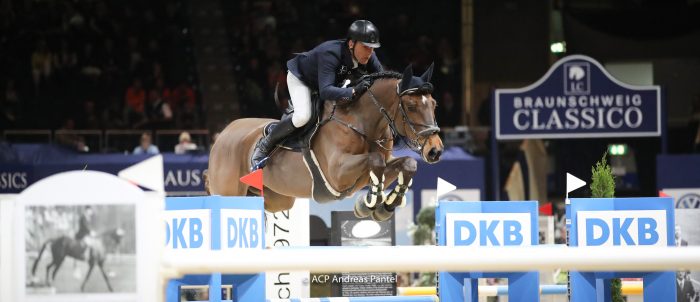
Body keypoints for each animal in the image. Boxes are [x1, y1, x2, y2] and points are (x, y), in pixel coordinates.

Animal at [206, 63, 442, 221]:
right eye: (411, 106)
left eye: (434, 104)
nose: (435, 151)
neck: (362, 123)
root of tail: (223, 133)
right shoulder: (337, 173)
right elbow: (375, 160)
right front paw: (368, 204)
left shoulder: (377, 167)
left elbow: (407, 164)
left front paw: (385, 206)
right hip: (229, 192)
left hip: (277, 198)